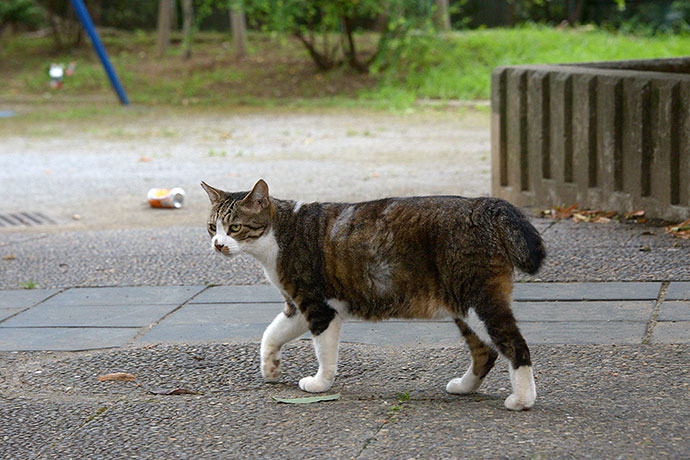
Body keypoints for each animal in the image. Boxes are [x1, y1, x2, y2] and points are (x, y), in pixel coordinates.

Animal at [199, 179, 544, 410]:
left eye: (235, 228)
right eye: (212, 227)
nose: (218, 245)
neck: (278, 235)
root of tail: (483, 204)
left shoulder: (319, 307)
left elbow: (325, 353)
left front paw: (320, 384)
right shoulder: (297, 307)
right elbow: (270, 335)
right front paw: (270, 368)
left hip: (478, 298)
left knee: (515, 345)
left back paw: (523, 399)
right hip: (462, 305)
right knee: (485, 352)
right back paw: (464, 386)